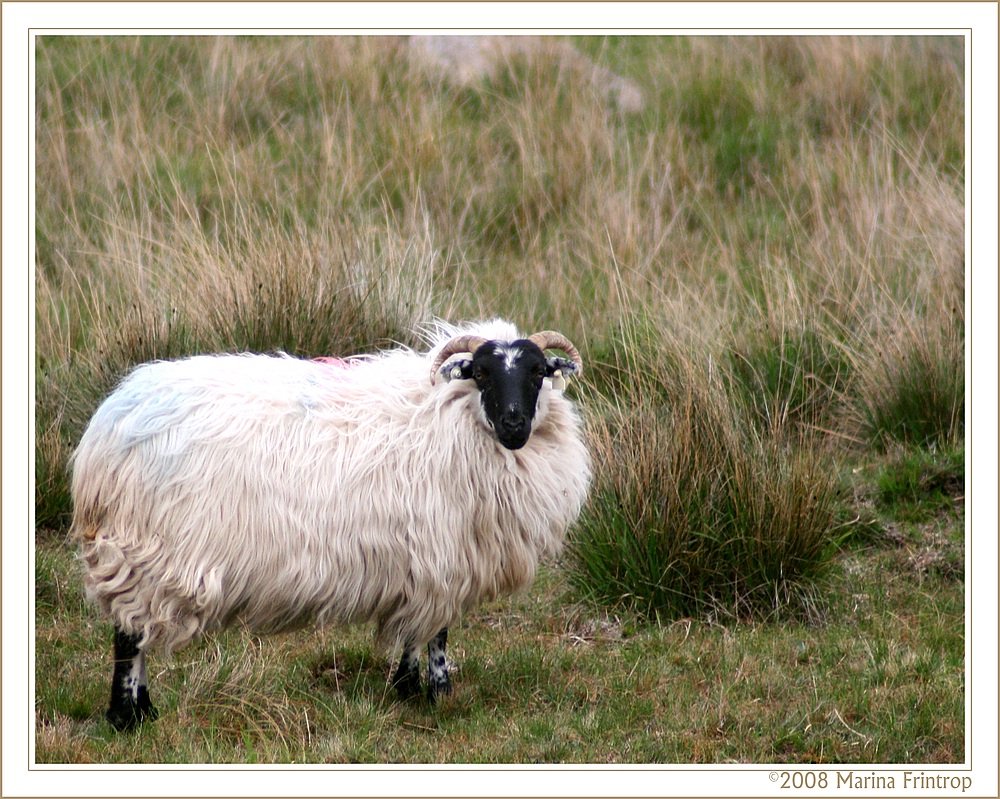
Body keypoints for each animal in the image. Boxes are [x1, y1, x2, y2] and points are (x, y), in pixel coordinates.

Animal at [72, 318, 592, 732]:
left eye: (538, 373)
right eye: (481, 373)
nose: (514, 425)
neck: (450, 419)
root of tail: (108, 425)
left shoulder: (422, 558)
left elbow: (416, 631)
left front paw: (409, 688)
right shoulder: (438, 555)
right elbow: (433, 631)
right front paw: (431, 692)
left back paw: (142, 712)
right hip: (148, 551)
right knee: (129, 636)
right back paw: (128, 717)